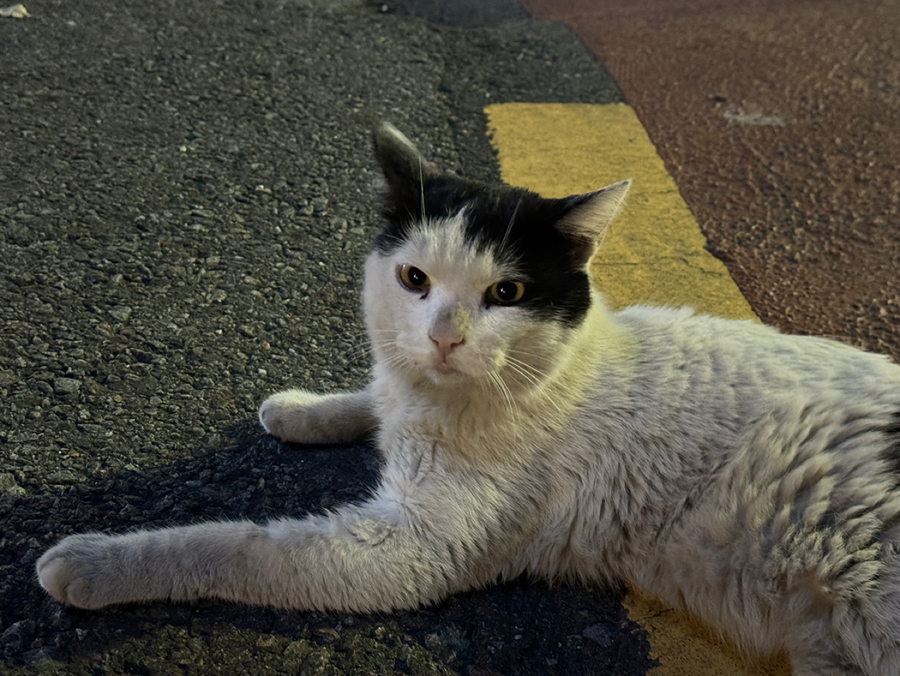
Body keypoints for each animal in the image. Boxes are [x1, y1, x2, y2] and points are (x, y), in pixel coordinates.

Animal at [38, 123, 900, 676]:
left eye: (506, 293)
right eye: (414, 278)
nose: (446, 336)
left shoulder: (412, 550)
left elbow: (231, 546)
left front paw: (94, 562)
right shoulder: (400, 394)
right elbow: (371, 395)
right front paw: (299, 409)